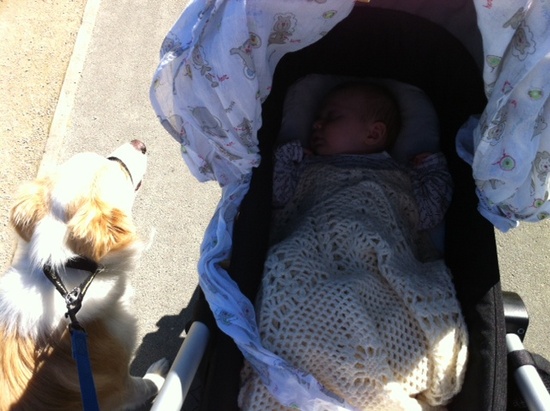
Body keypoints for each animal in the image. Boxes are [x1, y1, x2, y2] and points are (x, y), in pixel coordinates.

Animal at [0, 140, 168, 410]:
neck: (70, 269)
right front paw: (160, 378)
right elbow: (146, 385)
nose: (140, 144)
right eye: (117, 165)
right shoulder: (119, 385)